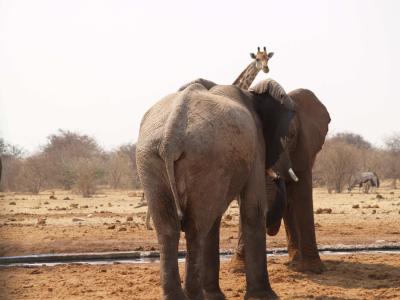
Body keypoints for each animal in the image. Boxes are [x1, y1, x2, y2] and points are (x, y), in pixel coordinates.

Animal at [136, 78, 296, 298]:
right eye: (287, 136)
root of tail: (171, 136)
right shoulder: (257, 145)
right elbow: (253, 208)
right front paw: (265, 297)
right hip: (204, 157)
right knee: (195, 228)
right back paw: (195, 297)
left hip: (152, 159)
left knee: (169, 229)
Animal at [233, 87, 330, 274]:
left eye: (290, 135)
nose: (278, 177)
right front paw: (238, 269)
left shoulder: (304, 149)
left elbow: (302, 195)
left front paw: (314, 269)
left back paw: (296, 262)